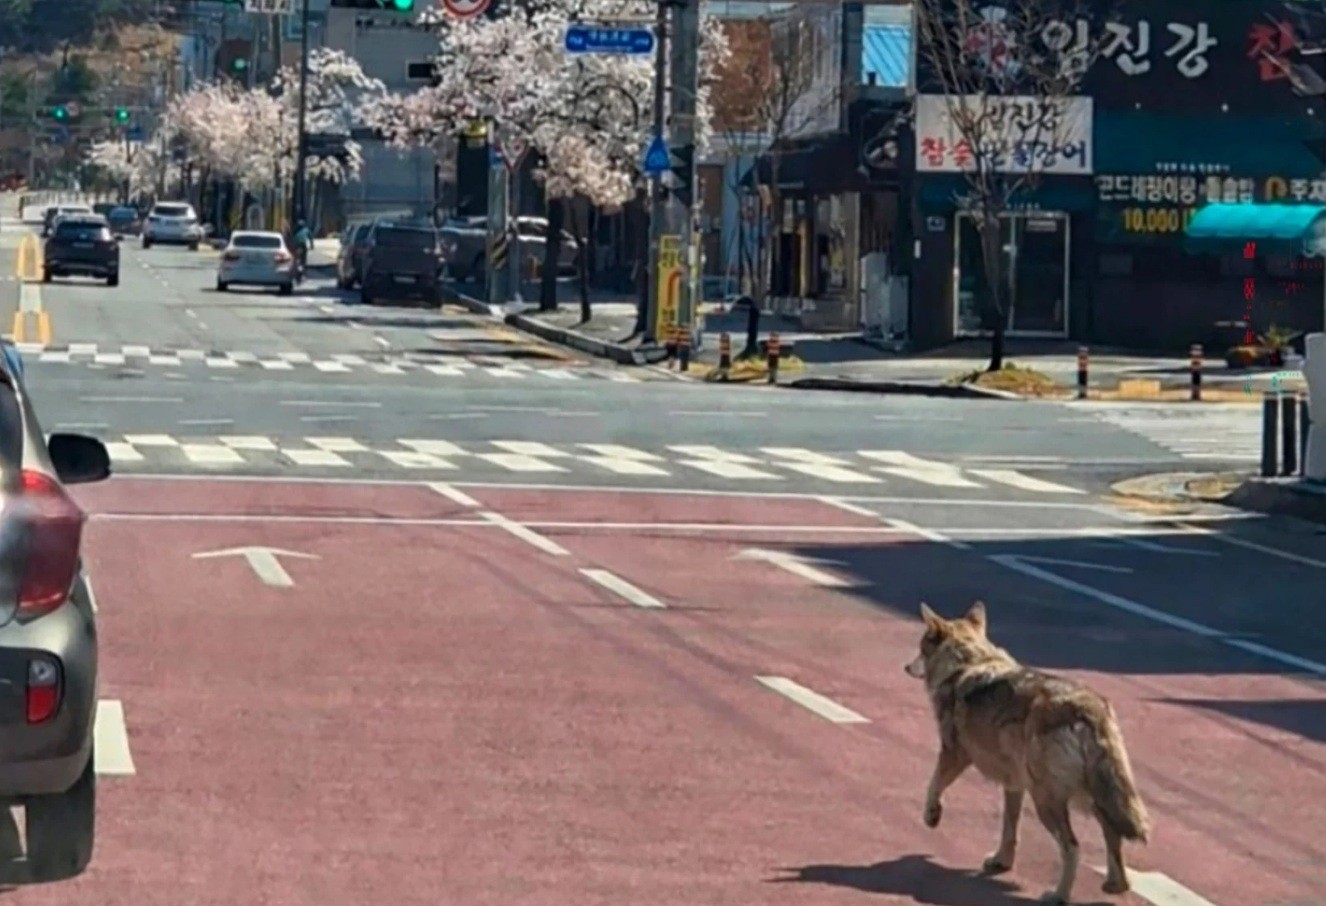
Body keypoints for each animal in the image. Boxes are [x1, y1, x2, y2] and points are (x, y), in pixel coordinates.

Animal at [904, 601, 1150, 904]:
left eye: (920, 647)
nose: (906, 667)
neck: (968, 663)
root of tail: (1089, 709)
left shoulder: (954, 754)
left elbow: (933, 785)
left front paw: (932, 816)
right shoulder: (1014, 784)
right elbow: (1009, 829)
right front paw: (1001, 861)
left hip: (1047, 801)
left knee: (1073, 847)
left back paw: (1058, 896)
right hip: (1090, 796)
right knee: (1112, 833)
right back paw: (1116, 885)